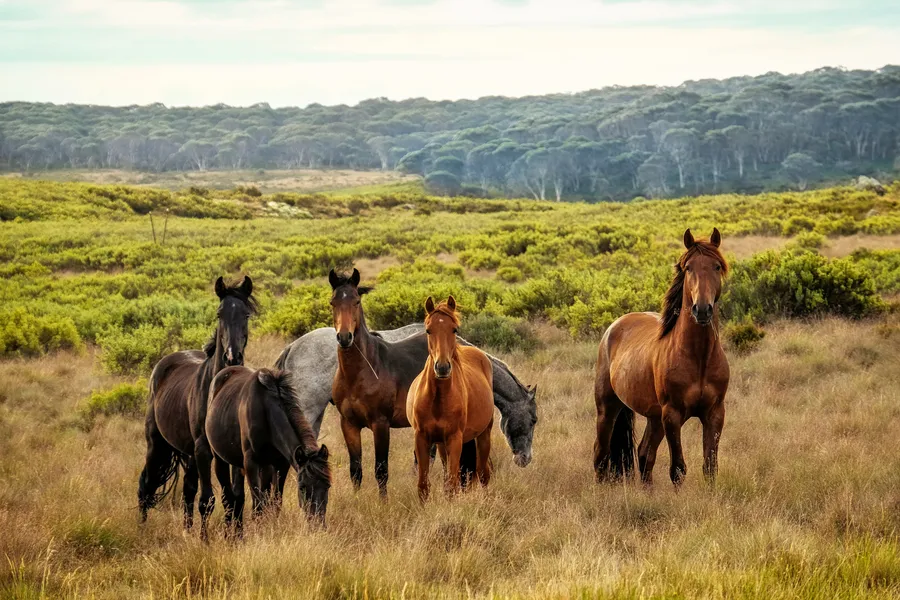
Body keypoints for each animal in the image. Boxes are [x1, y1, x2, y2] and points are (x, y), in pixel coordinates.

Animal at [137, 276, 256, 533]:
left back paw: (187, 530)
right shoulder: (203, 450)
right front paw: (206, 539)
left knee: (188, 490)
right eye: (220, 313)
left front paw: (236, 535)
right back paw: (141, 528)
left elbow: (235, 497)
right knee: (146, 485)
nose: (233, 356)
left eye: (246, 314)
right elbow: (208, 500)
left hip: (188, 453)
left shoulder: (231, 452)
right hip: (157, 445)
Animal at [205, 367, 331, 535]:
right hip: (221, 460)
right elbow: (258, 505)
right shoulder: (251, 463)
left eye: (327, 486)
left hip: (257, 466)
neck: (266, 411)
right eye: (302, 487)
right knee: (228, 498)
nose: (318, 525)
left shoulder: (281, 464)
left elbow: (275, 502)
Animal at [407, 296, 494, 501]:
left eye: (454, 329)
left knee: (483, 473)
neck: (438, 399)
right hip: (441, 444)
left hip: (483, 435)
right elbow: (423, 485)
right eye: (428, 330)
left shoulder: (455, 439)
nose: (442, 367)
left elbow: (452, 485)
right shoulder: (422, 438)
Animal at [593, 228, 729, 487]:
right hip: (608, 408)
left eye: (717, 266)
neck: (698, 357)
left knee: (644, 453)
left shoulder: (714, 414)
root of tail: (614, 327)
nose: (702, 309)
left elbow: (710, 467)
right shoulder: (672, 416)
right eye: (688, 268)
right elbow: (678, 469)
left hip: (654, 417)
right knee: (601, 454)